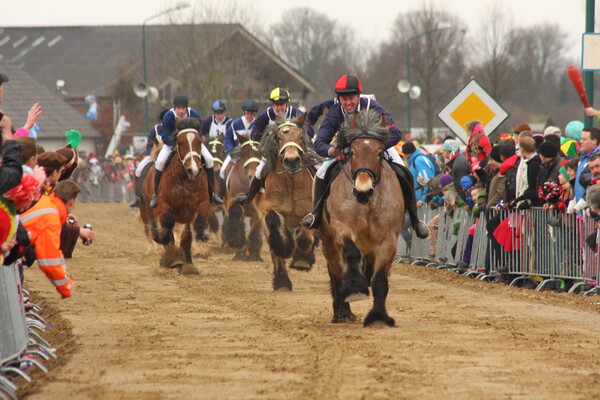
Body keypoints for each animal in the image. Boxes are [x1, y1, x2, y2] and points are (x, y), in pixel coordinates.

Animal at [139, 115, 211, 274]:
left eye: (199, 142)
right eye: (180, 142)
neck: (184, 179)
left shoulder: (200, 205)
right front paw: (170, 253)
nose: (194, 170)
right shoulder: (163, 205)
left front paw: (192, 259)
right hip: (147, 208)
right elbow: (167, 222)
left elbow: (196, 227)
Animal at [254, 115, 322, 290]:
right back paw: (282, 282)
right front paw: (286, 248)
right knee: (274, 248)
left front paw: (302, 260)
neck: (291, 183)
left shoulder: (309, 211)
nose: (292, 161)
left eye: (300, 137)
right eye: (278, 138)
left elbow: (305, 236)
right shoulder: (268, 208)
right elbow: (274, 226)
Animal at [318, 108, 404, 324]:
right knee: (336, 272)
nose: (362, 190)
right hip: (328, 243)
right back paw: (341, 312)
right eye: (353, 151)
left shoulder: (388, 238)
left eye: (379, 152)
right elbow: (350, 253)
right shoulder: (342, 228)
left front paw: (378, 316)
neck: (367, 203)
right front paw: (356, 288)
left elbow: (380, 278)